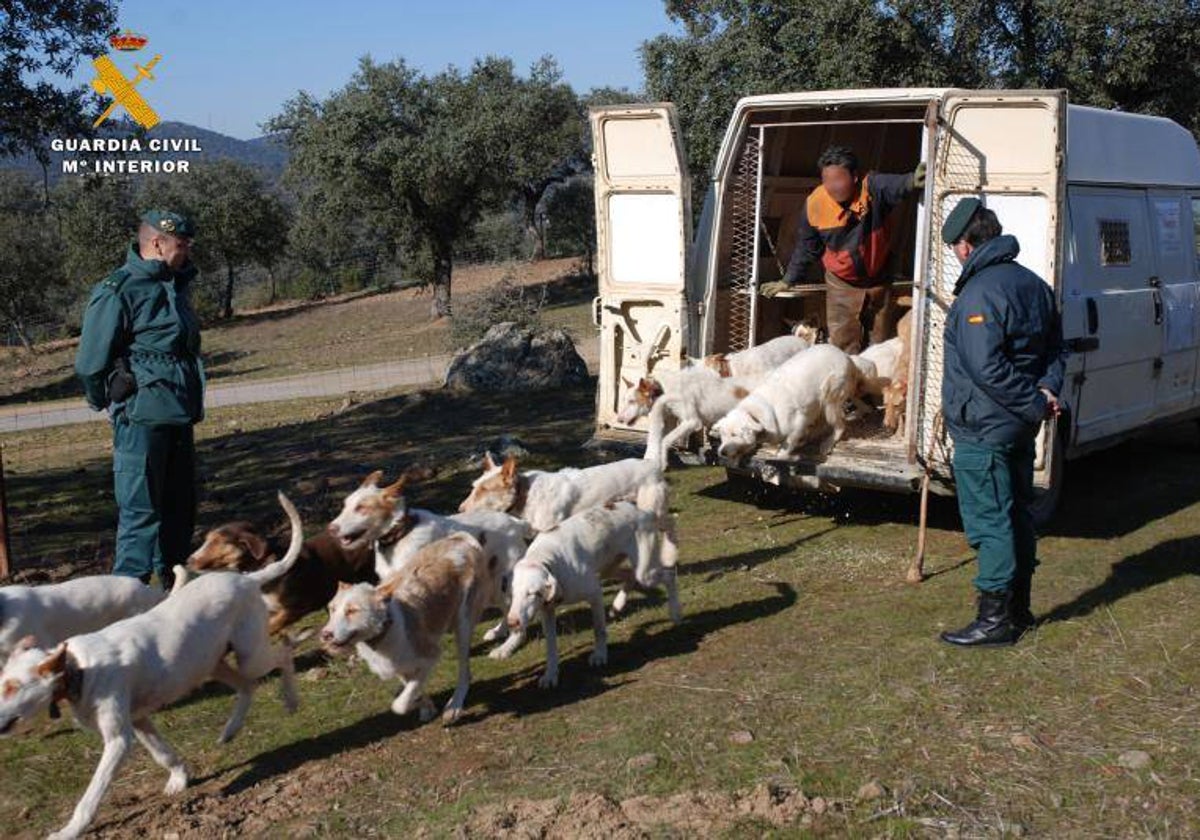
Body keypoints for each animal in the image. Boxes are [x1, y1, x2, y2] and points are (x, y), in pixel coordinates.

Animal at [319, 535, 496, 724]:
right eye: (332, 609)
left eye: (352, 611)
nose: (325, 635)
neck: (387, 628)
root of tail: (458, 539)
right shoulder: (400, 667)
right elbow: (414, 690)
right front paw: (426, 707)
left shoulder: (430, 656)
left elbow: (401, 703)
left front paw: (410, 703)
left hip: (463, 625)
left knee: (464, 672)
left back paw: (454, 705)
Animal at [331, 470, 532, 657]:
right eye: (345, 506)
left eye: (361, 508)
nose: (331, 528)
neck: (400, 535)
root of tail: (517, 523)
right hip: (491, 587)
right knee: (507, 610)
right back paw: (499, 631)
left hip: (501, 583)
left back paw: (506, 648)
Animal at [501, 499, 681, 691]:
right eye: (513, 594)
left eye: (532, 593)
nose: (512, 623)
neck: (547, 559)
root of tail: (643, 512)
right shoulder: (547, 611)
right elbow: (551, 647)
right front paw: (551, 674)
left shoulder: (595, 595)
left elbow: (598, 630)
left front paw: (600, 655)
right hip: (609, 569)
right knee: (630, 576)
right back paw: (618, 605)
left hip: (645, 573)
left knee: (668, 575)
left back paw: (675, 612)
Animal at [705, 340, 868, 458]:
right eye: (723, 436)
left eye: (735, 435)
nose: (721, 452)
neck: (756, 415)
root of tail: (846, 355)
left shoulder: (798, 423)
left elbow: (784, 449)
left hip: (830, 399)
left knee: (840, 425)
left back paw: (827, 443)